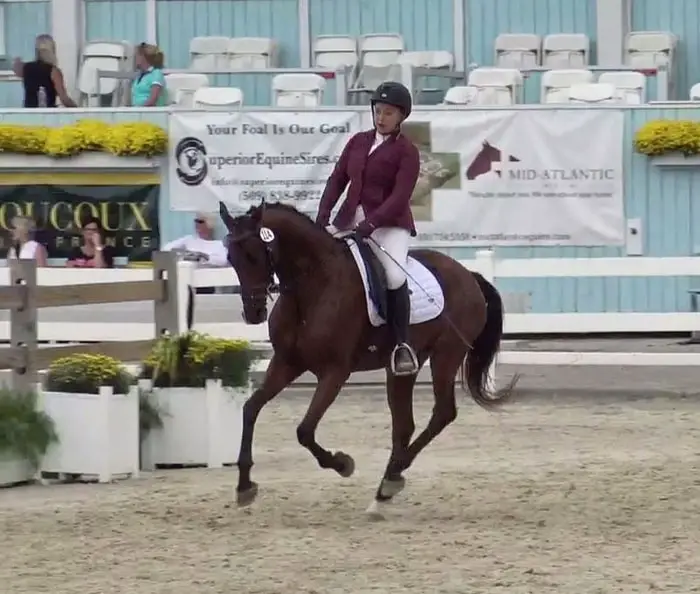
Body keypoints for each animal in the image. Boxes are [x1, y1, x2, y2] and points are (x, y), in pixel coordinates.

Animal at [219, 199, 516, 512]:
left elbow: (305, 430)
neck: (313, 285)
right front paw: (244, 486)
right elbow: (250, 409)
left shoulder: (335, 371)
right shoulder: (287, 363)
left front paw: (342, 464)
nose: (253, 313)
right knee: (404, 425)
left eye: (253, 255)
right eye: (231, 258)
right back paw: (384, 491)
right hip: (403, 367)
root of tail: (469, 275)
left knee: (443, 413)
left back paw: (393, 476)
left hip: (446, 355)